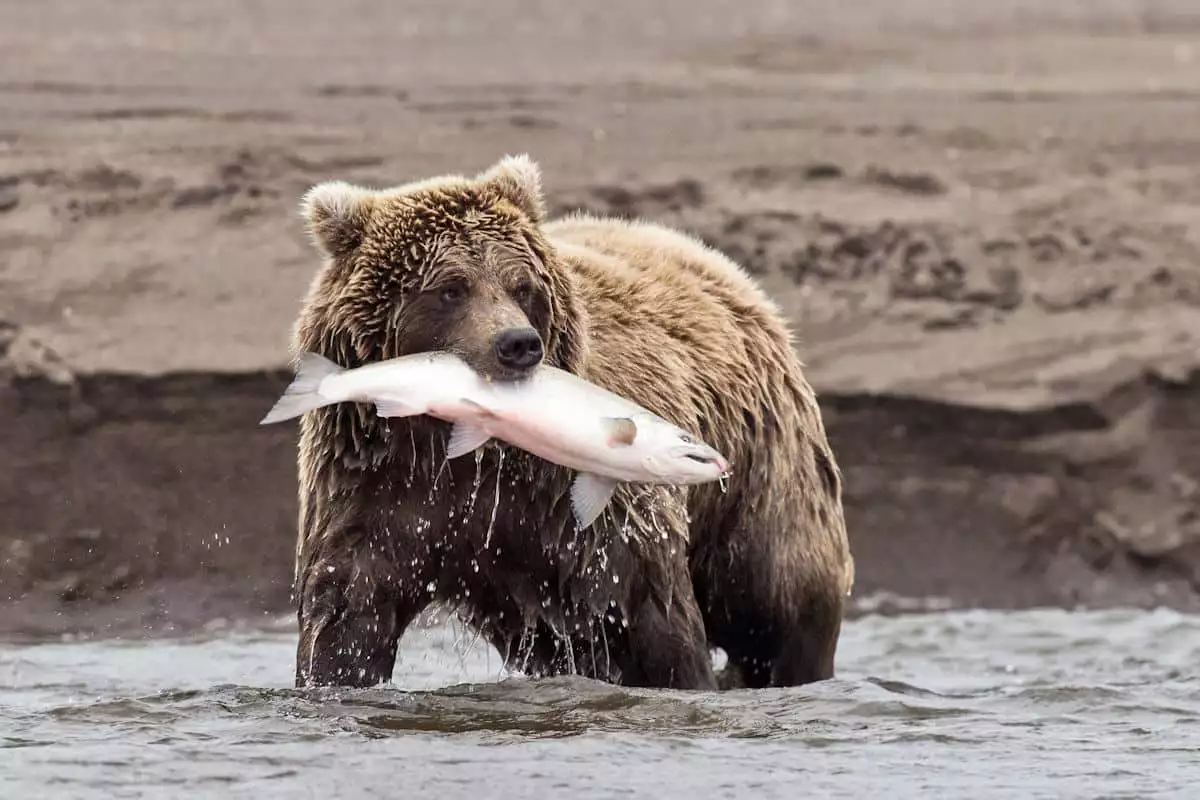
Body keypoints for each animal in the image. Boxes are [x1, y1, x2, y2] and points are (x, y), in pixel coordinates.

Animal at [285, 154, 854, 691]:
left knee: (779, 600)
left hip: (762, 474)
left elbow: (646, 616)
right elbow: (349, 611)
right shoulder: (380, 483)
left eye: (521, 286)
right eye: (450, 288)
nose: (517, 343)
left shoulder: (579, 509)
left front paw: (684, 679)